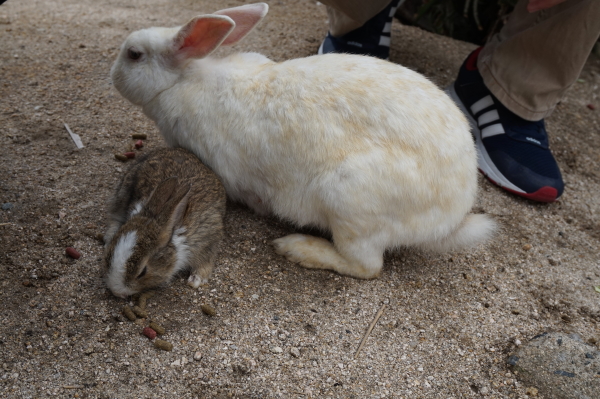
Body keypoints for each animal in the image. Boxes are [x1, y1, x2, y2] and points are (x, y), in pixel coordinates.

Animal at [103, 148, 225, 298]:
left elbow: (205, 263)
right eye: (109, 256)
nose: (116, 291)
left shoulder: (206, 240)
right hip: (123, 191)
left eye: (142, 272)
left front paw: (195, 280)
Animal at [110, 3, 494, 280]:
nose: (112, 75)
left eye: (133, 54)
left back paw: (297, 248)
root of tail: (451, 217)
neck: (180, 80)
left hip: (350, 200)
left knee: (367, 266)